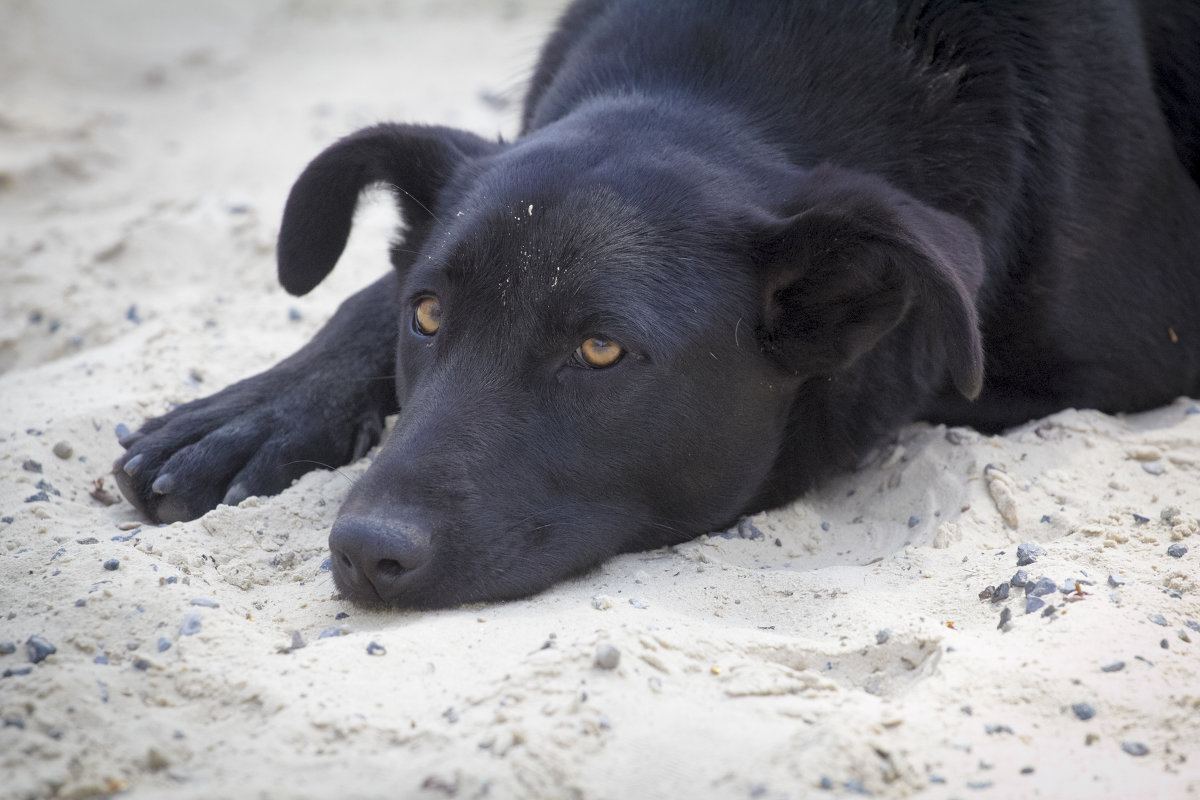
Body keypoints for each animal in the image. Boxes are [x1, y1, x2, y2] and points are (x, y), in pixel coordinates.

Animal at [112, 1, 1200, 606]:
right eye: (429, 317)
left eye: (601, 352)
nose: (364, 552)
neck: (720, 85)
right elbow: (365, 299)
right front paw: (251, 413)